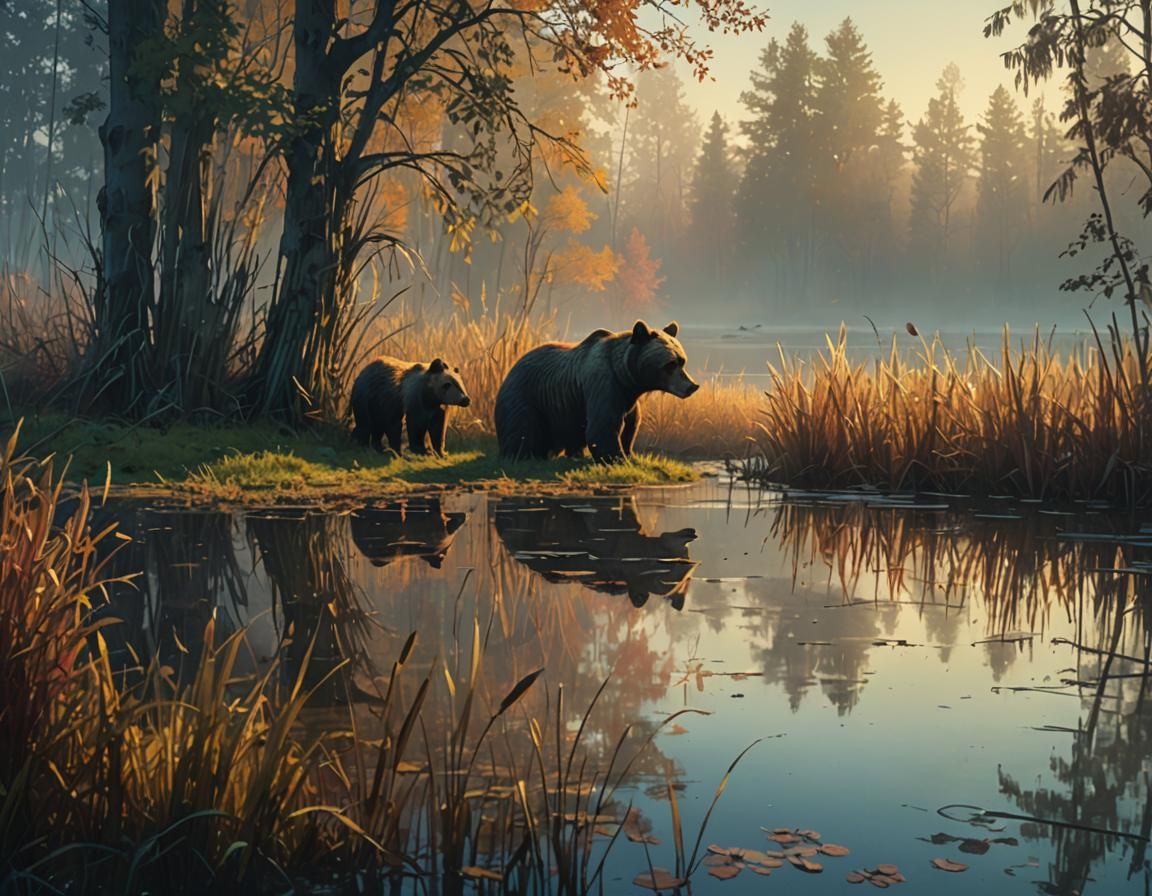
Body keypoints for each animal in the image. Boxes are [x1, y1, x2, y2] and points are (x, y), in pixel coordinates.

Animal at [494, 320, 699, 462]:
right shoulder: (604, 384)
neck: (626, 377)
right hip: (525, 396)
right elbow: (602, 428)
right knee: (522, 428)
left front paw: (628, 453)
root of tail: (512, 368)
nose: (692, 386)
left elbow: (630, 426)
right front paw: (617, 459)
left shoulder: (628, 399)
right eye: (670, 364)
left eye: (682, 360)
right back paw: (522, 455)